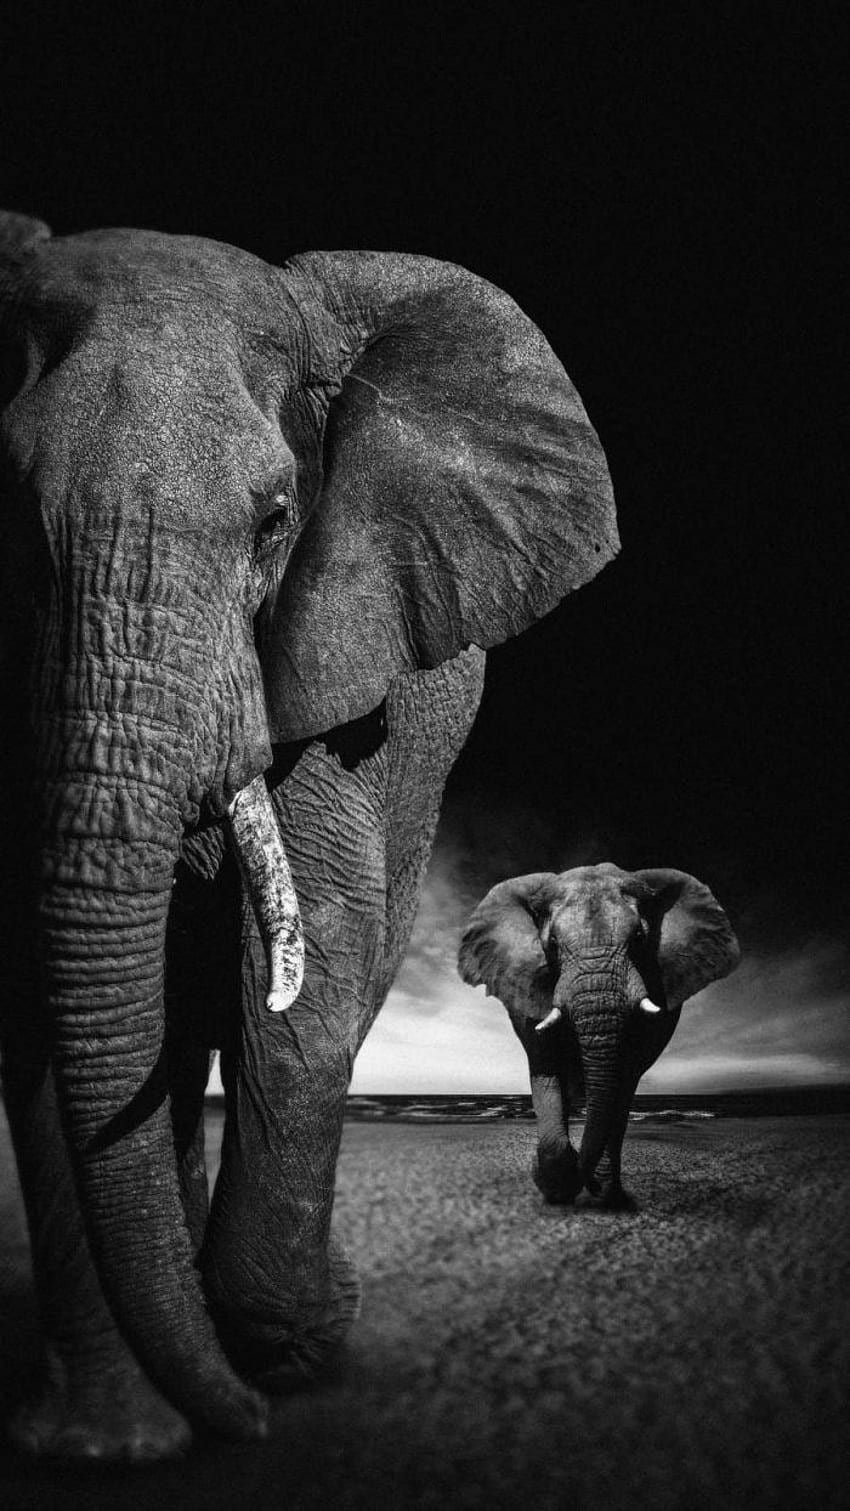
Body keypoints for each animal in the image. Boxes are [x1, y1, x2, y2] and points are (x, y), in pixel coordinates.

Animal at [0, 211, 618, 1460]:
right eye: (7, 514)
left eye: (276, 520)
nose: (245, 1426)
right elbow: (33, 998)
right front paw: (115, 1443)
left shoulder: (342, 656)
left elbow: (311, 963)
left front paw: (286, 1343)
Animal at [458, 864, 740, 1208]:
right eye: (552, 944)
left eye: (639, 939)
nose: (586, 1180)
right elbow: (546, 1067)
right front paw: (557, 1184)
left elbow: (623, 1079)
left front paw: (585, 1185)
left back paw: (606, 1194)